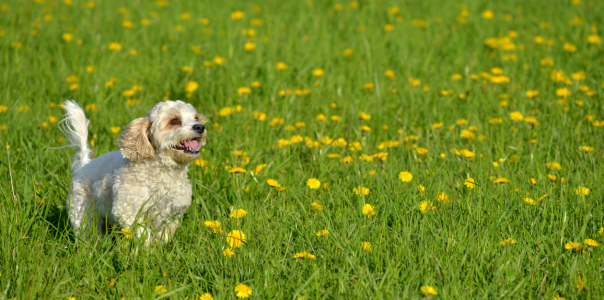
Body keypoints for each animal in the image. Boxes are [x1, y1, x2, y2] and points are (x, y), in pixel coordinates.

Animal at [60, 100, 208, 244]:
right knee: (88, 234)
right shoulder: (128, 211)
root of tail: (83, 166)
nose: (200, 127)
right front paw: (148, 249)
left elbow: (164, 236)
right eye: (175, 121)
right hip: (82, 214)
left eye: (196, 118)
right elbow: (143, 235)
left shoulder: (173, 212)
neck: (163, 172)